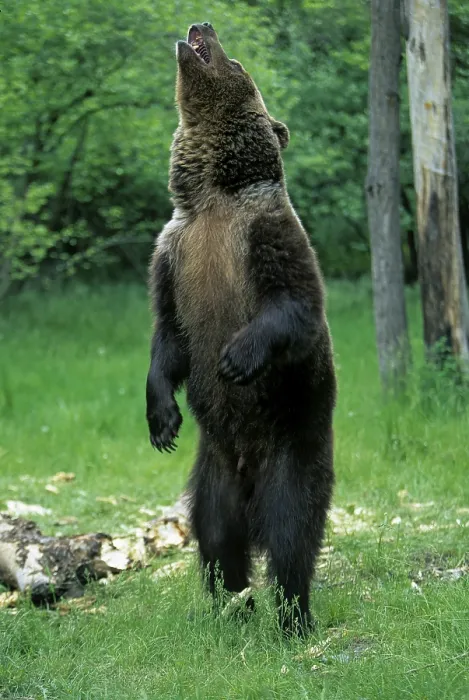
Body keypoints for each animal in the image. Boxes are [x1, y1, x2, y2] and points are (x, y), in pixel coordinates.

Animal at [146, 22, 336, 635]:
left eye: (237, 62)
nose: (198, 26)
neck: (215, 196)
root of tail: (249, 474)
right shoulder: (173, 257)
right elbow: (168, 336)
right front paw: (161, 419)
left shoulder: (266, 238)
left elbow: (295, 305)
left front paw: (235, 356)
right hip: (214, 472)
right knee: (216, 538)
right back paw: (230, 607)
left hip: (292, 442)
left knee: (291, 531)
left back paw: (294, 616)